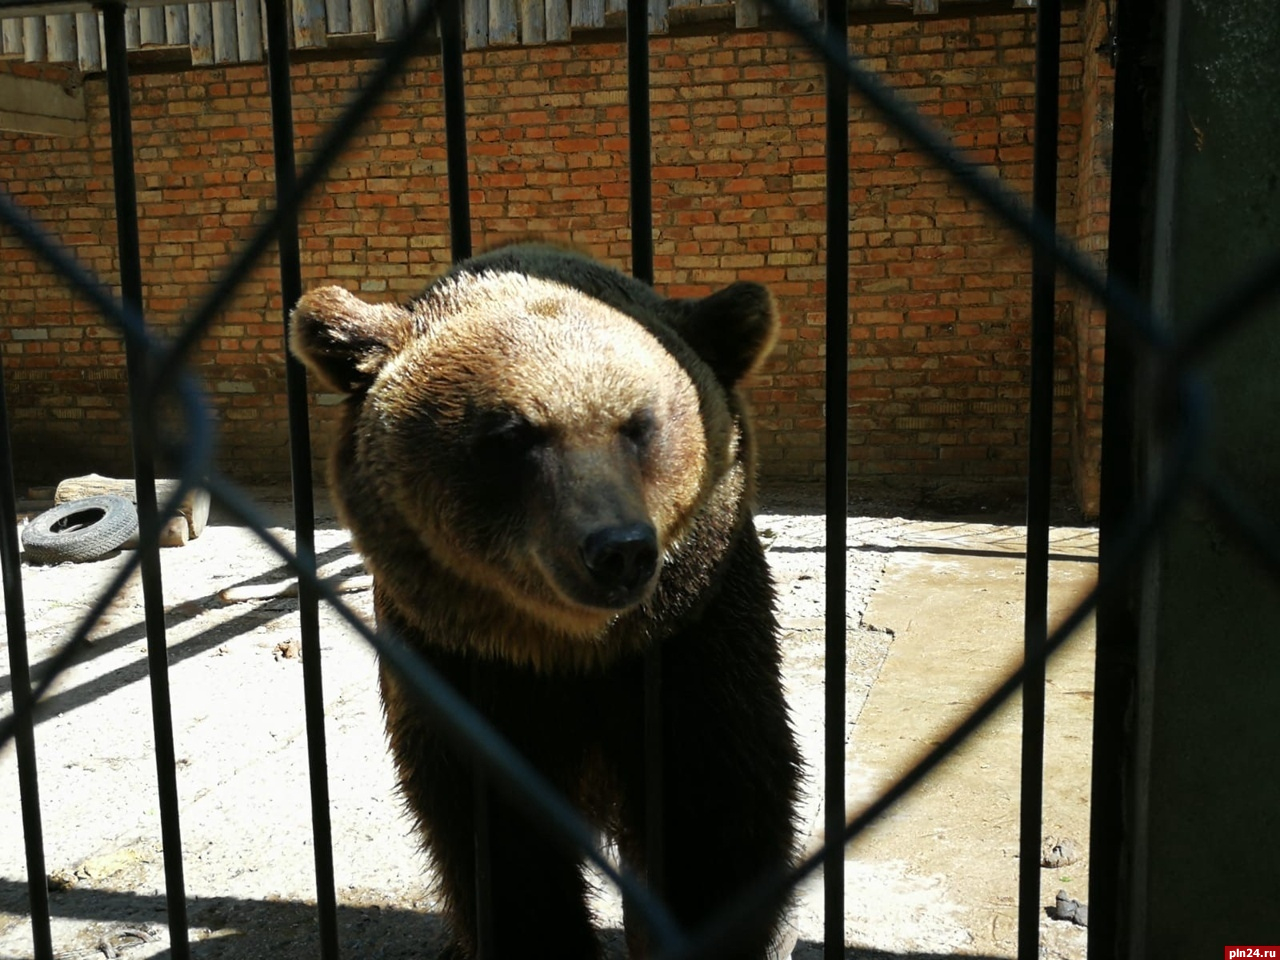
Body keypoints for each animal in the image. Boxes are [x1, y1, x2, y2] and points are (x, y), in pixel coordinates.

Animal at [290, 244, 798, 957]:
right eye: (512, 433)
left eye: (639, 424)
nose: (617, 549)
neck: (568, 651)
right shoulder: (462, 672)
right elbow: (504, 850)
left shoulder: (694, 648)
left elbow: (718, 819)